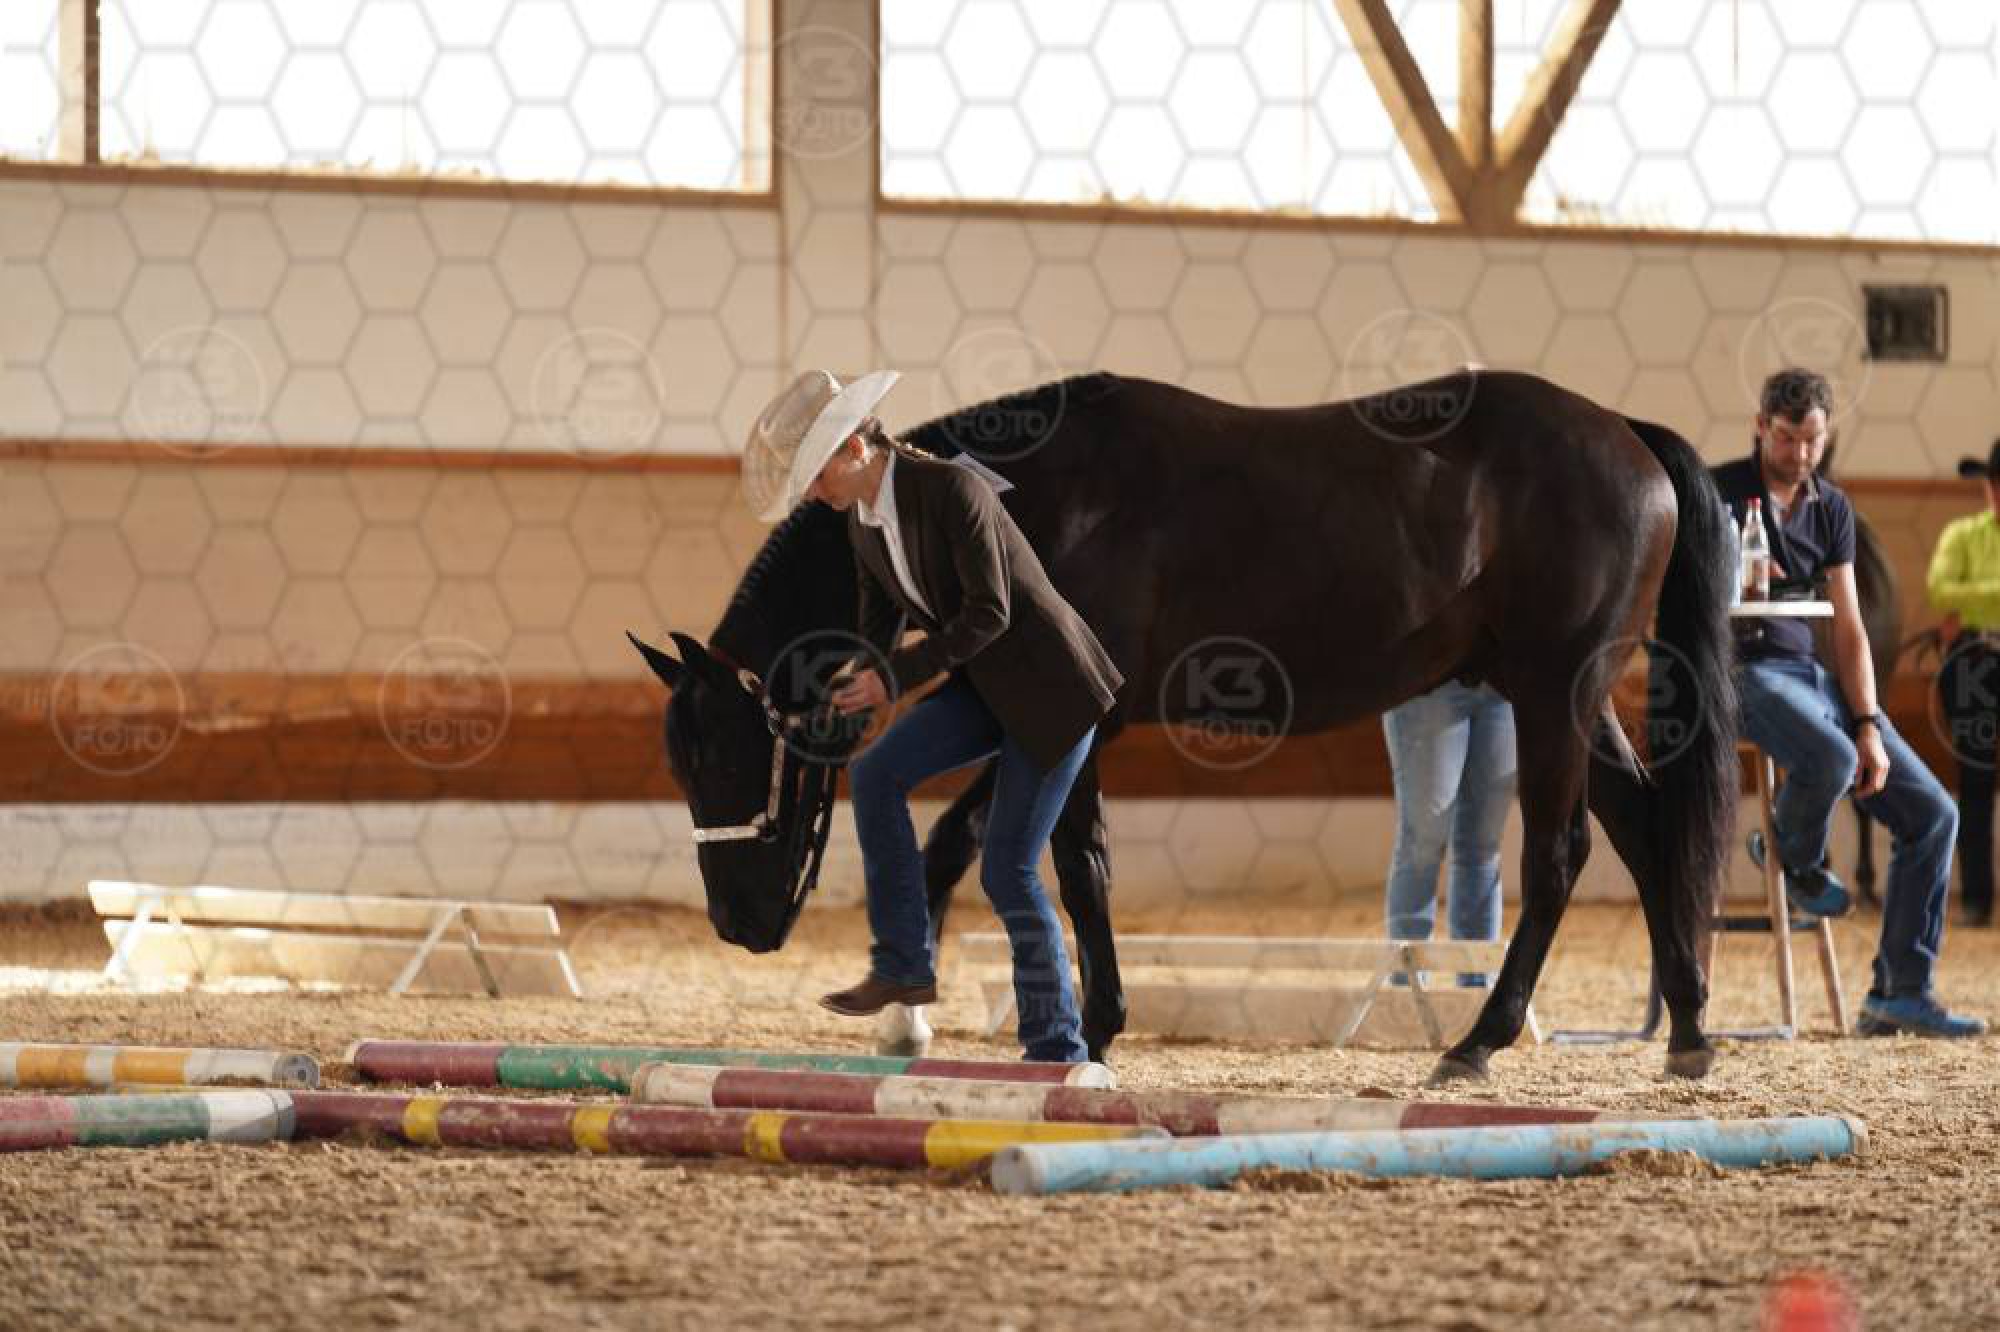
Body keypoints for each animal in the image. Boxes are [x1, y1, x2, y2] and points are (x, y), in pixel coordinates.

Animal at [630, 370, 1739, 1084]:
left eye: (727, 752)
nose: (737, 922)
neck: (1037, 492)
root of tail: (1626, 432)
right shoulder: (1017, 708)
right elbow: (962, 842)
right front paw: (908, 1010)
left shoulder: (1079, 713)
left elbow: (1068, 865)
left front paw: (1091, 1028)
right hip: (1566, 696)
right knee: (1645, 830)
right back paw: (1686, 1027)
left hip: (1552, 692)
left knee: (1561, 852)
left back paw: (1478, 1041)